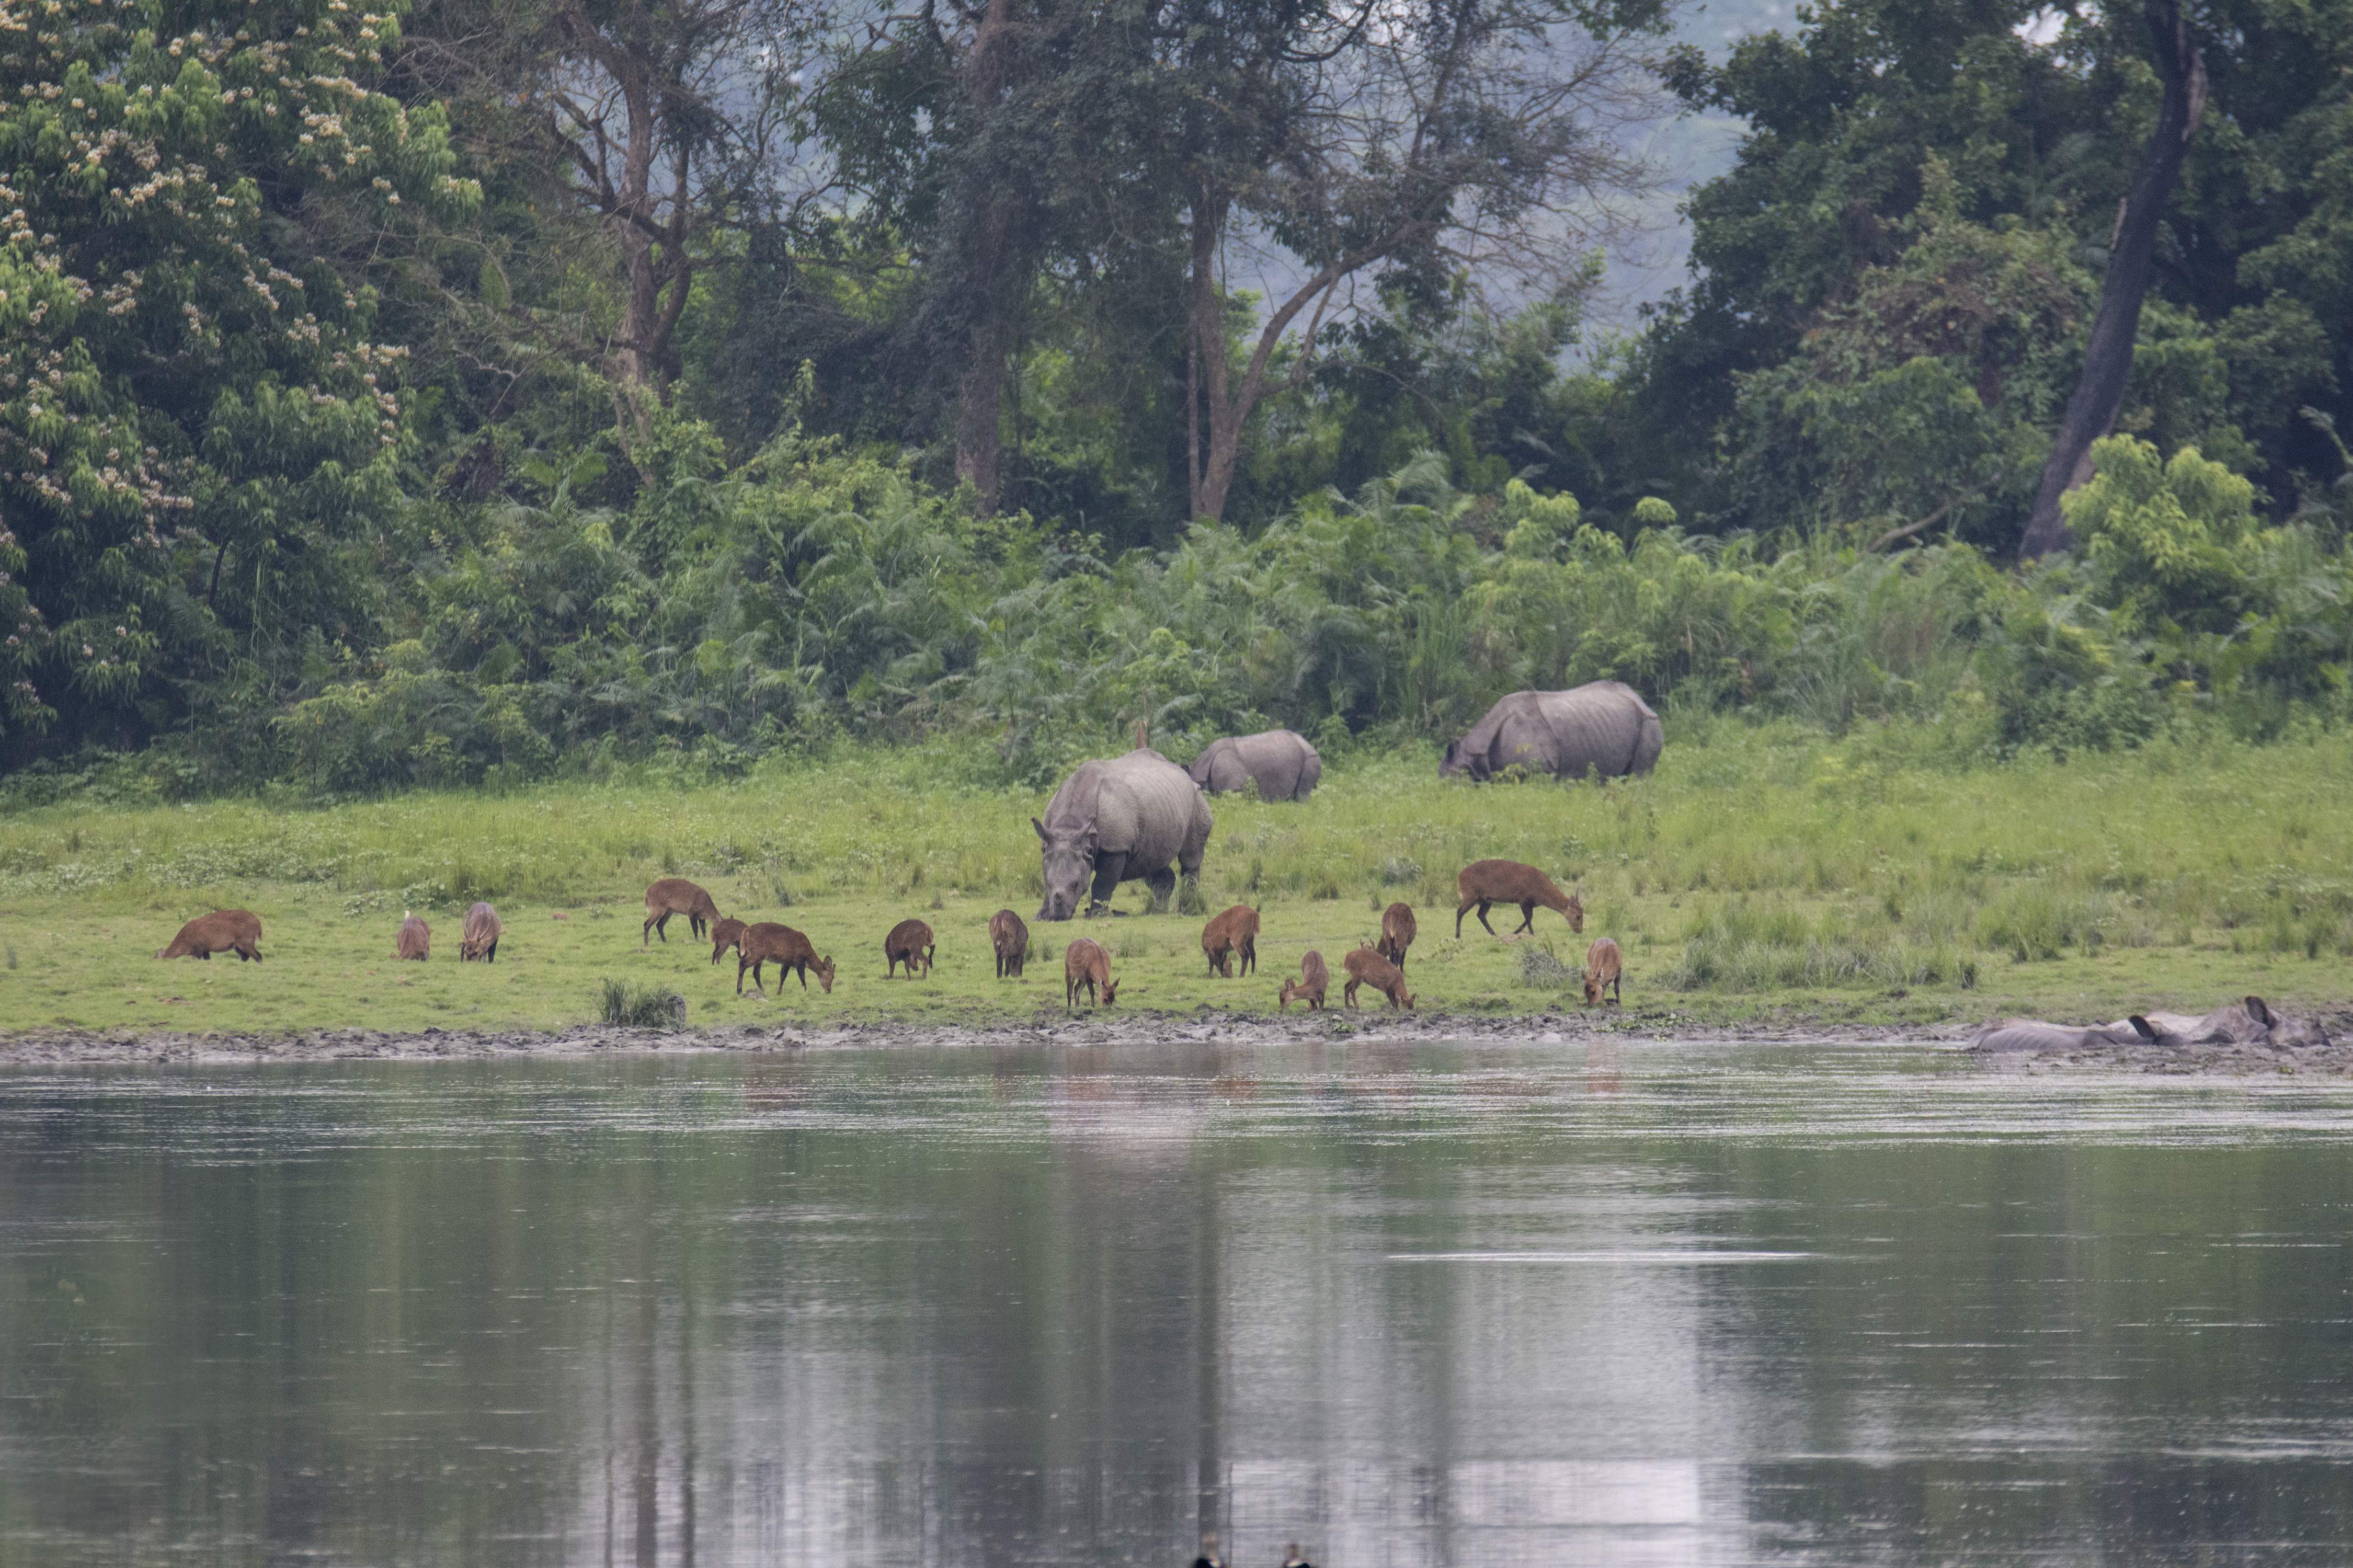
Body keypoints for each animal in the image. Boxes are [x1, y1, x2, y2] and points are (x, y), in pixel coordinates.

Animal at [1034, 747, 1214, 920]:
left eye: (1076, 884)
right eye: (1048, 883)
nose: (1059, 917)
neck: (1071, 826)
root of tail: (1185, 775)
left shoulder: (1116, 847)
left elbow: (1103, 882)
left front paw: (1095, 915)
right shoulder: (1051, 843)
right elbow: (1048, 877)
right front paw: (1042, 917)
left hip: (1196, 800)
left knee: (1190, 858)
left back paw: (1190, 908)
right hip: (1160, 804)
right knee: (1152, 861)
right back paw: (1156, 912)